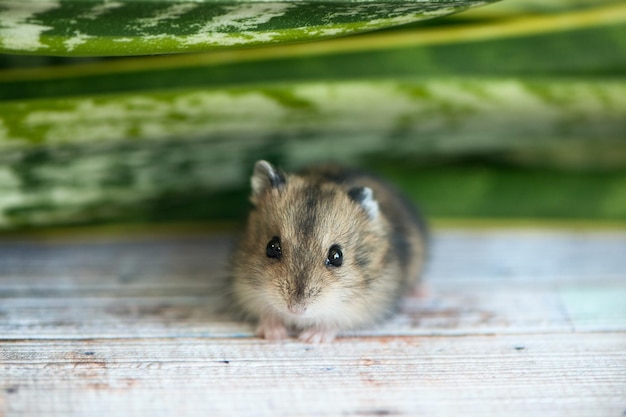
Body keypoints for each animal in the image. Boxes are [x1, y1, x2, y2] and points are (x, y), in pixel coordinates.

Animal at [232, 159, 426, 342]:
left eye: (336, 256)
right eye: (271, 247)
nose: (296, 309)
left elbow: (332, 323)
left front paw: (310, 338)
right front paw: (275, 334)